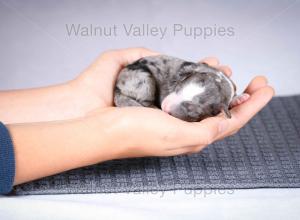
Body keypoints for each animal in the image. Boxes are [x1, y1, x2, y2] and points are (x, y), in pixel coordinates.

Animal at [113, 55, 250, 122]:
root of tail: (116, 88)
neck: (219, 78)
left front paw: (240, 98)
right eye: (178, 88)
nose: (164, 107)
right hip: (142, 79)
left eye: (190, 108)